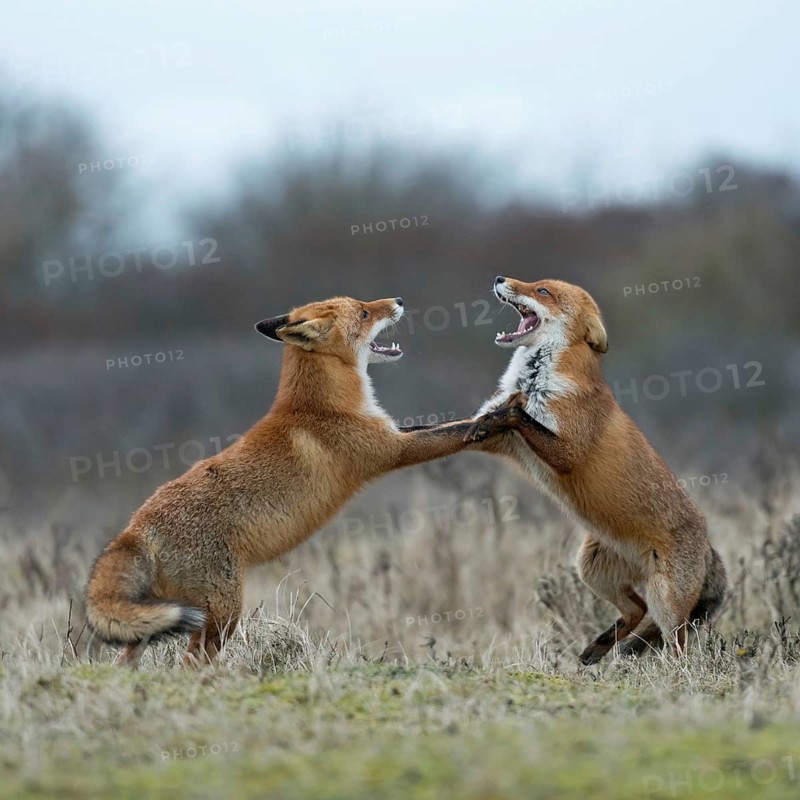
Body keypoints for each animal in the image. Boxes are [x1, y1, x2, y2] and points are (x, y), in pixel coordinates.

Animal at [84, 295, 474, 665]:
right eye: (364, 312)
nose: (399, 301)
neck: (322, 406)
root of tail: (135, 526)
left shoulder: (393, 435)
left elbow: (445, 425)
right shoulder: (391, 450)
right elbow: (454, 433)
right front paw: (489, 421)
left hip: (164, 616)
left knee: (126, 657)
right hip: (222, 613)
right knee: (192, 662)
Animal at [462, 276, 727, 663]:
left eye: (543, 291)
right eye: (536, 284)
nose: (499, 279)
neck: (535, 380)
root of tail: (708, 545)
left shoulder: (568, 450)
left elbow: (517, 414)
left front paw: (506, 411)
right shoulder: (505, 443)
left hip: (665, 600)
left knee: (676, 643)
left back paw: (673, 671)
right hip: (591, 569)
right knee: (635, 609)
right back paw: (597, 647)